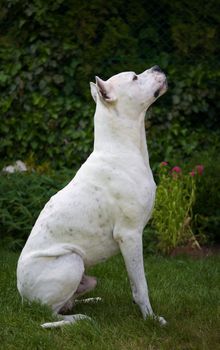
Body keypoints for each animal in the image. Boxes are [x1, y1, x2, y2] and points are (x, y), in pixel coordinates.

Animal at [16, 65, 167, 328]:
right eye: (134, 77)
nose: (157, 67)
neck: (122, 148)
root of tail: (23, 297)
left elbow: (135, 283)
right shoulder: (130, 235)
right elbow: (141, 286)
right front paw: (151, 318)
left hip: (86, 277)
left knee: (69, 301)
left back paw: (90, 302)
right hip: (71, 261)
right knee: (49, 313)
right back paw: (80, 318)